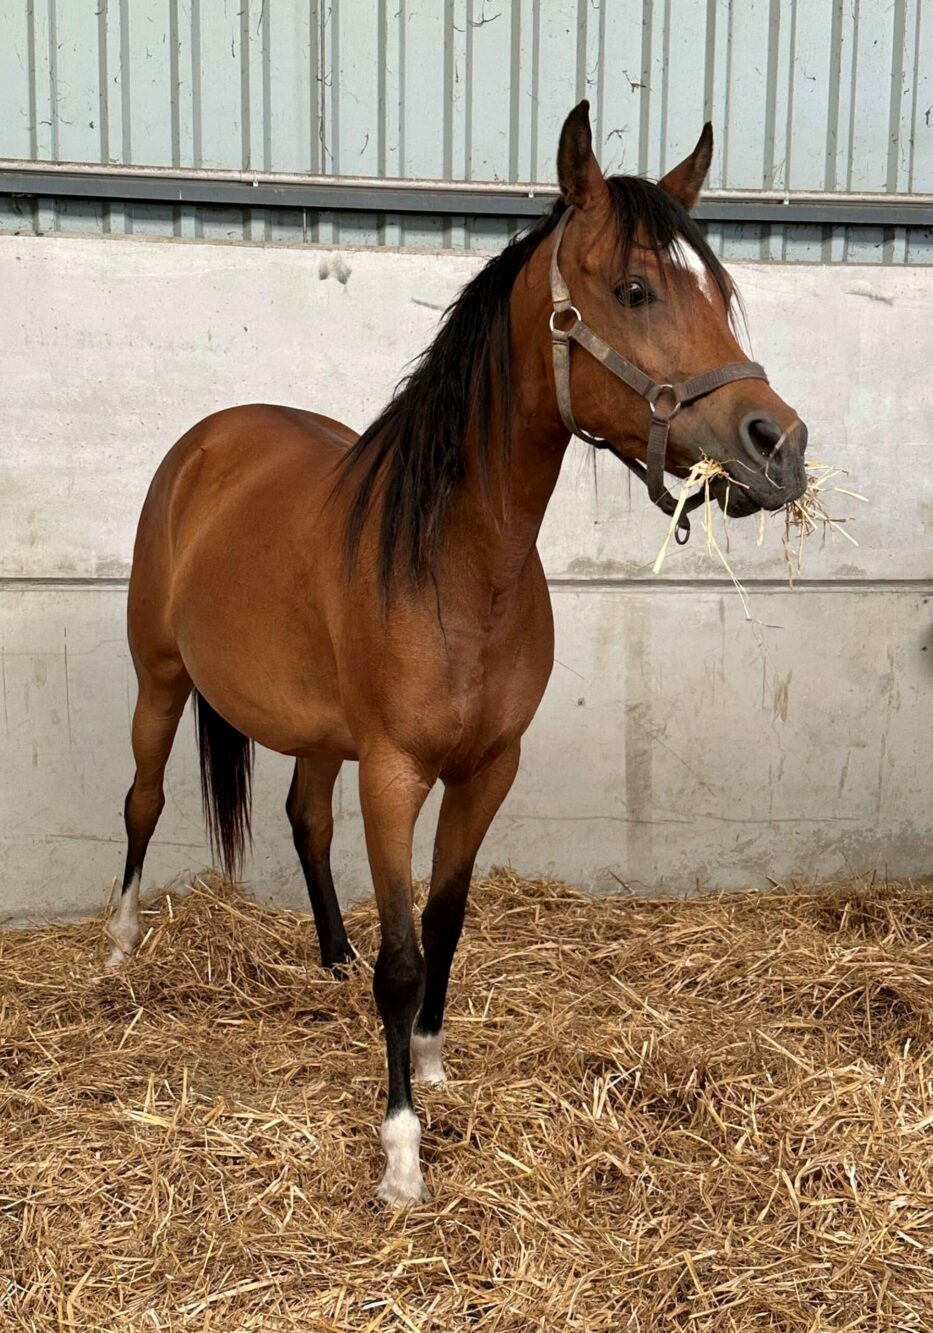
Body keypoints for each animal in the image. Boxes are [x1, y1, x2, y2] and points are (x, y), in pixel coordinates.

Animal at [108, 101, 807, 1206]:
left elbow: (444, 918)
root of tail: (207, 442)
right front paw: (401, 1146)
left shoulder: (487, 768)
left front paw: (430, 1057)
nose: (779, 446)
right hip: (160, 680)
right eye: (636, 288)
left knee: (306, 819)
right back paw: (120, 946)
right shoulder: (396, 773)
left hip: (318, 732)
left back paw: (330, 958)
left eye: (723, 294)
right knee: (142, 800)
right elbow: (402, 953)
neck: (460, 562)